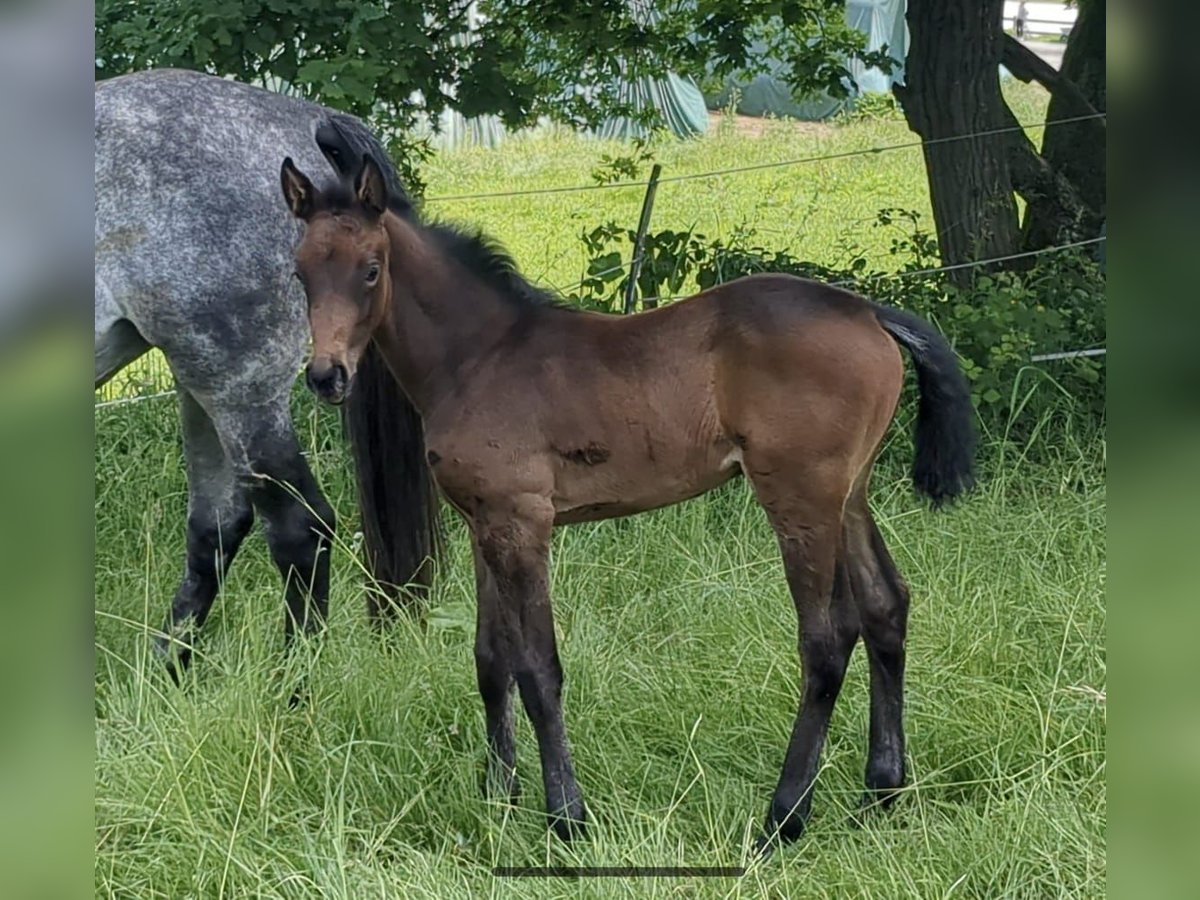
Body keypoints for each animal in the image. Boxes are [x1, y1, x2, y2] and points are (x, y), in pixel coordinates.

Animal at [96, 68, 439, 676]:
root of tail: (305, 115)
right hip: (202, 383)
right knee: (216, 525)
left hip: (238, 388)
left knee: (299, 529)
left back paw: (292, 684)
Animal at [280, 151, 974, 849]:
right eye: (300, 272)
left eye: (371, 269)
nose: (327, 376)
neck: (478, 357)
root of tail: (869, 312)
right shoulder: (484, 522)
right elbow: (490, 659)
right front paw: (497, 798)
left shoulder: (523, 520)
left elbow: (538, 667)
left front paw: (566, 815)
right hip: (848, 494)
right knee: (886, 606)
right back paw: (881, 793)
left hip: (800, 494)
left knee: (827, 639)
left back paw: (783, 817)